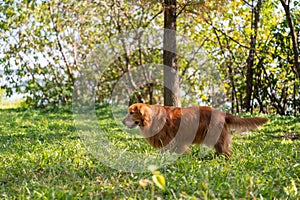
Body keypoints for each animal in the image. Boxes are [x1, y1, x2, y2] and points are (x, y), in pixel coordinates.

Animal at [122, 103, 268, 156]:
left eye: (131, 113)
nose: (122, 121)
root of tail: (222, 113)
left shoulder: (173, 141)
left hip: (217, 138)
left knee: (227, 152)